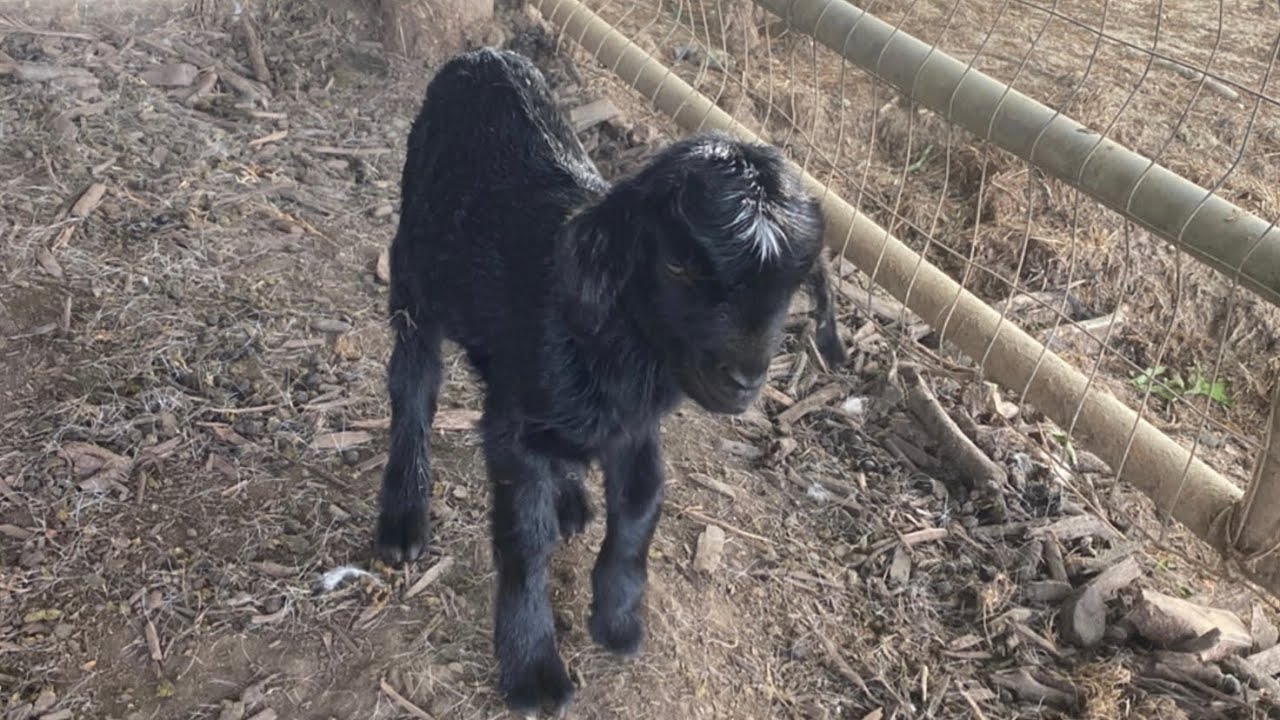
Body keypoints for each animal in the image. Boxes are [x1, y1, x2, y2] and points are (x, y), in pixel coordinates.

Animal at [376, 47, 844, 713]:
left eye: (793, 288)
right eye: (676, 265)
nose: (745, 378)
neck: (620, 349)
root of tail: (487, 55)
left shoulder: (636, 428)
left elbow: (642, 504)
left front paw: (618, 620)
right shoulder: (515, 424)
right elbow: (525, 539)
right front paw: (533, 671)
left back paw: (569, 494)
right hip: (414, 270)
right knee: (413, 384)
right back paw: (403, 515)